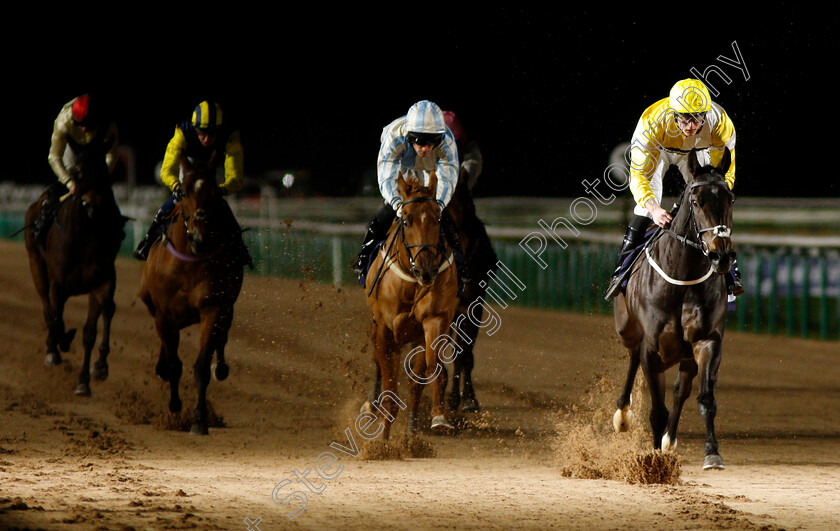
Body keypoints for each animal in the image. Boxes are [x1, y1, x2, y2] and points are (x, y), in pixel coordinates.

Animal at [24, 139, 124, 396]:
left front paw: (89, 376)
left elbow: (91, 330)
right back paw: (53, 350)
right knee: (47, 308)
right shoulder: (57, 283)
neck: (83, 236)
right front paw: (60, 344)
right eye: (78, 170)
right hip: (37, 268)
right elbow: (56, 318)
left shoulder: (102, 281)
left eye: (104, 170)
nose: (92, 203)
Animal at [139, 155, 246, 436]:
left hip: (227, 306)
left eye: (215, 193)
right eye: (184, 192)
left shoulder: (213, 308)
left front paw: (199, 420)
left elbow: (201, 367)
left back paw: (221, 367)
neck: (190, 260)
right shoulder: (164, 313)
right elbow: (174, 364)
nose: (199, 235)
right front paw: (175, 407)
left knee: (222, 337)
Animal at [360, 171, 460, 440]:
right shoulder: (385, 329)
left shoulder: (432, 322)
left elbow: (429, 371)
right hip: (375, 325)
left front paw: (431, 421)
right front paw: (381, 439)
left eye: (438, 218)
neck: (413, 280)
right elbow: (388, 381)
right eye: (406, 220)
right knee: (376, 362)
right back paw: (370, 405)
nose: (427, 270)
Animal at [612, 149, 736, 470]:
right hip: (627, 330)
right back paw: (623, 415)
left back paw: (670, 439)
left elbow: (705, 399)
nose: (721, 256)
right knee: (632, 360)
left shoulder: (707, 341)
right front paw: (654, 462)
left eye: (730, 199)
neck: (682, 276)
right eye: (696, 201)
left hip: (686, 355)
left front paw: (712, 452)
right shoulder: (651, 349)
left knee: (682, 389)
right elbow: (657, 410)